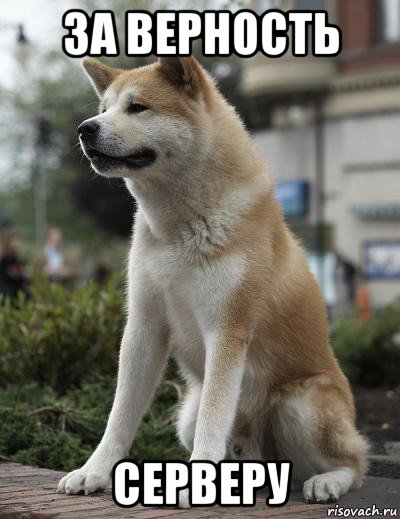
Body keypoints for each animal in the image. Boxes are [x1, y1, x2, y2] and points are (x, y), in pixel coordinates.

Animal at [57, 54, 368, 506]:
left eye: (137, 108)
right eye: (103, 109)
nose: (85, 128)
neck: (178, 228)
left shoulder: (227, 329)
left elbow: (214, 416)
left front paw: (197, 484)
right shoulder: (144, 327)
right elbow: (120, 415)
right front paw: (93, 471)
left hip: (301, 405)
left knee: (355, 464)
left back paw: (326, 481)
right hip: (186, 413)